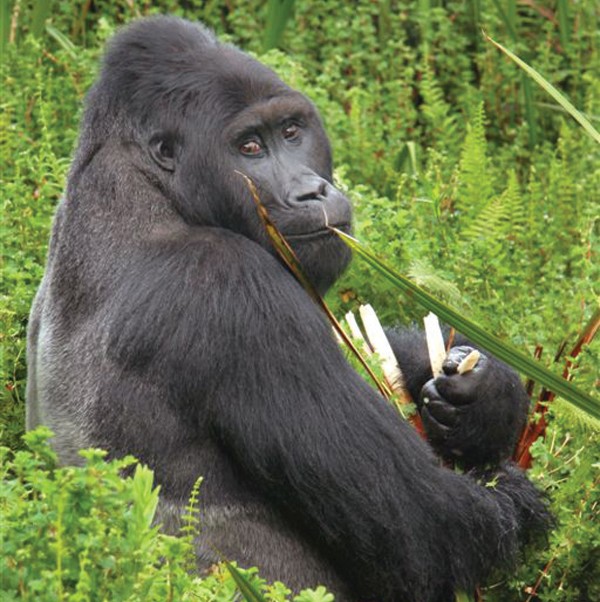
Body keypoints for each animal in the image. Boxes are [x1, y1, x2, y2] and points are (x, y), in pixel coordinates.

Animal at [27, 16, 548, 596]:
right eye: (250, 146)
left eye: (293, 132)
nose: (311, 192)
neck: (147, 182)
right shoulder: (227, 283)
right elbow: (426, 531)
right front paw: (516, 500)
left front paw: (485, 398)